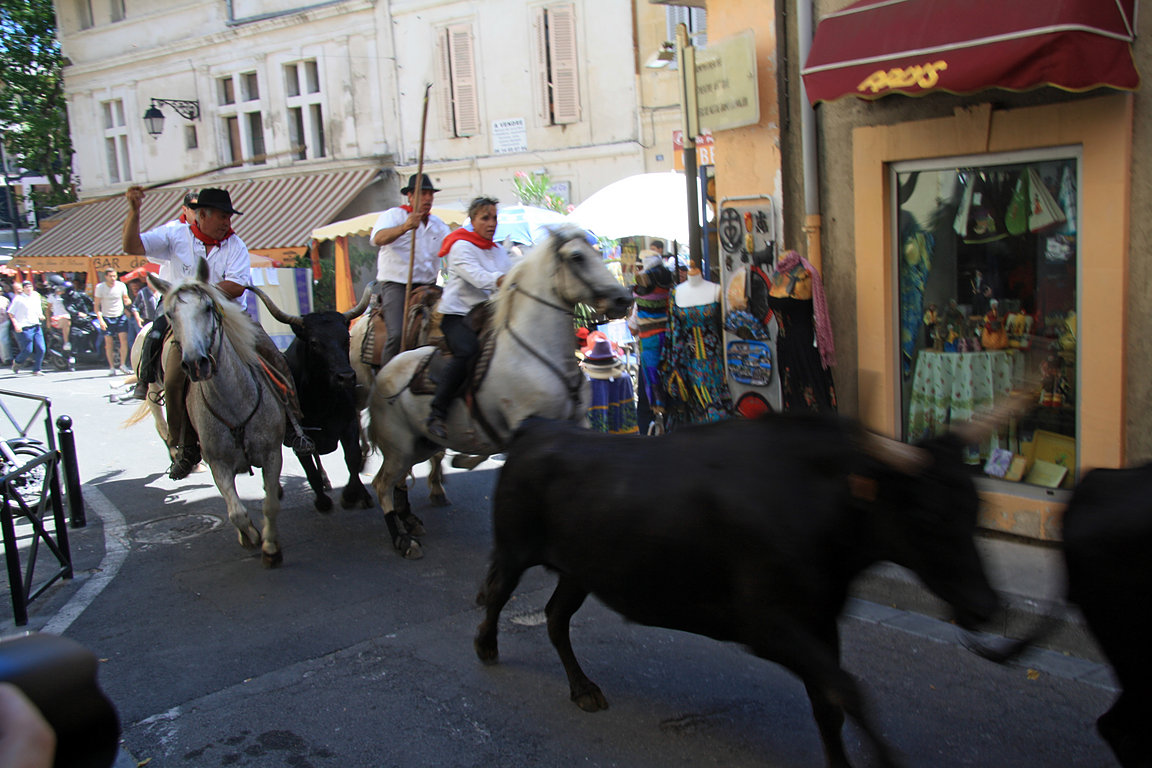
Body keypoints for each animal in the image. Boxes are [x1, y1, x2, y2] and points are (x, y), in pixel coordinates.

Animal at [147, 261, 286, 568]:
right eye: (170, 314)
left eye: (208, 307)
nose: (196, 363)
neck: (234, 405)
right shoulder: (217, 463)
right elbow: (236, 512)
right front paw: (250, 536)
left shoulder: (272, 453)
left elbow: (270, 504)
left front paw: (271, 547)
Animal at [368, 226, 631, 559]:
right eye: (576, 257)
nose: (624, 298)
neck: (536, 352)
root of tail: (384, 372)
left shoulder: (576, 423)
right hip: (399, 446)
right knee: (382, 485)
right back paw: (402, 539)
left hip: (420, 445)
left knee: (398, 482)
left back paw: (410, 520)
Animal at [472, 400, 1032, 764]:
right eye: (930, 515)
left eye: (974, 507)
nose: (986, 607)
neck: (818, 504)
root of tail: (536, 428)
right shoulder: (767, 627)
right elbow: (847, 691)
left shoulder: (820, 621)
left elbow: (829, 706)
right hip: (516, 548)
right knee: (497, 591)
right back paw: (486, 646)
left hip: (580, 570)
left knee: (554, 616)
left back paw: (583, 688)